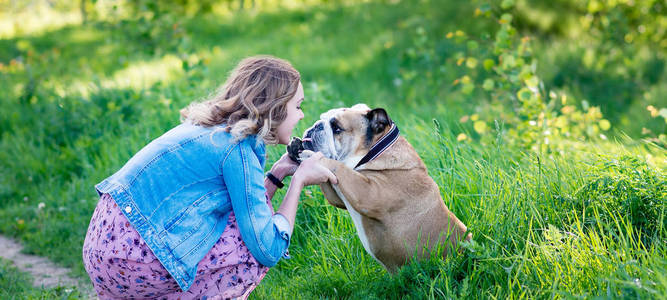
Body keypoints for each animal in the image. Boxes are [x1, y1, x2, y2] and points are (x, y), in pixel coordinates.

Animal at [290, 104, 472, 274]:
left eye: (337, 128)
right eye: (322, 118)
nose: (316, 125)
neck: (375, 152)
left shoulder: (365, 193)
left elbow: (336, 165)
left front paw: (308, 155)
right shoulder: (339, 193)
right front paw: (296, 147)